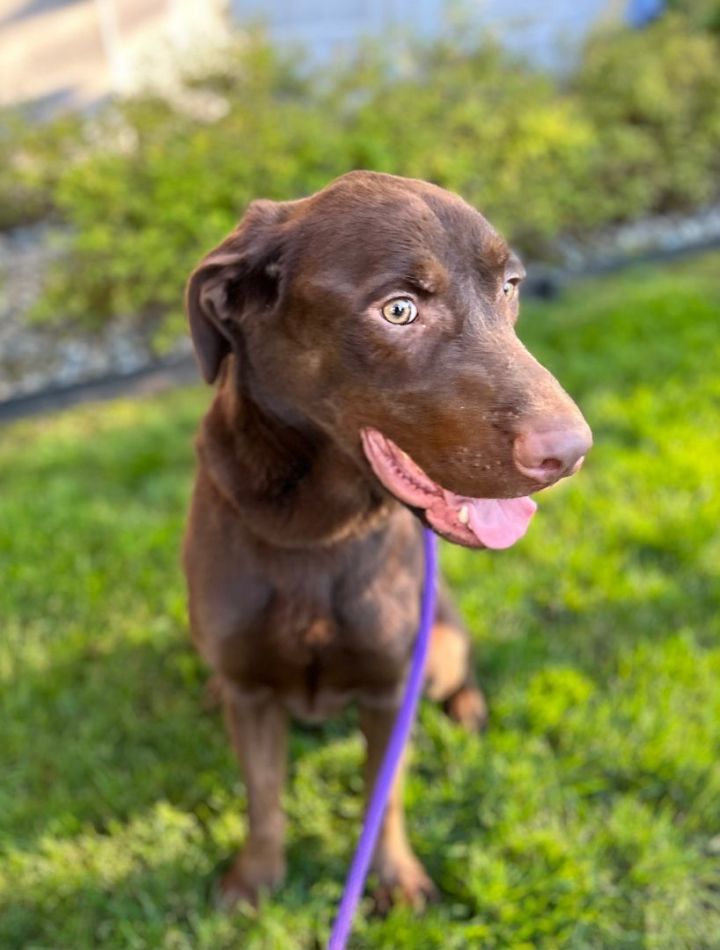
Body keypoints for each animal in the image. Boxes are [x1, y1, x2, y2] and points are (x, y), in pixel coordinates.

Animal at [181, 169, 592, 908]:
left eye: (510, 286)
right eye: (398, 310)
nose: (572, 452)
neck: (319, 528)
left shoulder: (389, 690)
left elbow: (385, 795)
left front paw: (396, 879)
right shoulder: (253, 694)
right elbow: (263, 796)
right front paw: (254, 880)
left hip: (441, 644)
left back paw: (470, 711)